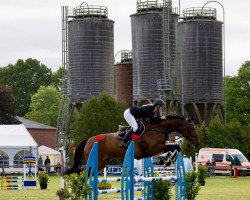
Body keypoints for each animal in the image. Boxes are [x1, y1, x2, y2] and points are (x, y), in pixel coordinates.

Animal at [64, 115, 199, 174]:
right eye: (191, 128)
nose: (197, 143)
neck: (157, 129)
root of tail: (89, 140)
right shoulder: (153, 148)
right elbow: (173, 146)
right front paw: (167, 161)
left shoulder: (159, 147)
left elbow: (175, 147)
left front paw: (167, 160)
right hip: (96, 159)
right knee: (84, 171)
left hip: (103, 162)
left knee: (83, 171)